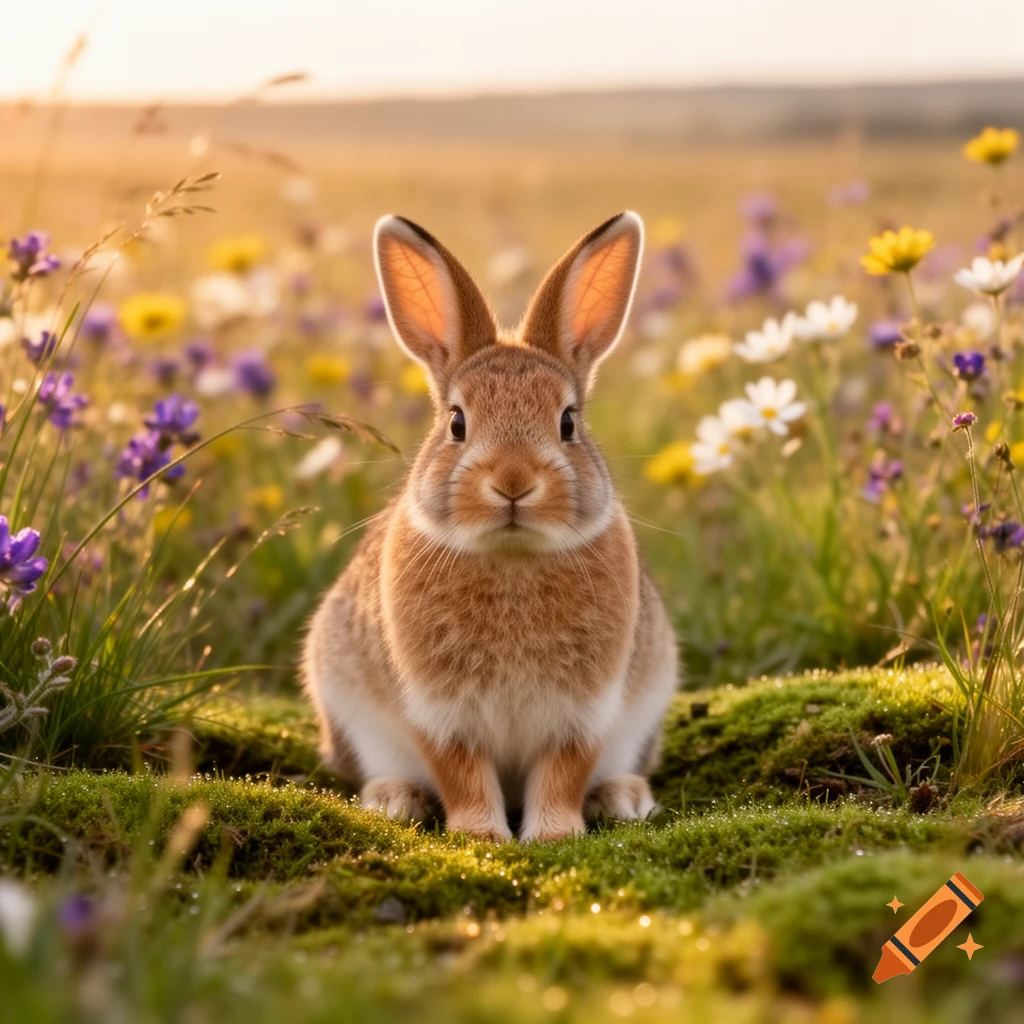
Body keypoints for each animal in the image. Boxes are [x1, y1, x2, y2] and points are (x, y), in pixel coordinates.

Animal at [302, 211, 678, 842]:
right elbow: (462, 773)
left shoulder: (585, 714)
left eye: (568, 422)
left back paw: (622, 797)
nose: (513, 481)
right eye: (457, 422)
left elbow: (563, 773)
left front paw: (553, 835)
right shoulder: (439, 713)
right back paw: (393, 799)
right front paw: (480, 835)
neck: (512, 555)